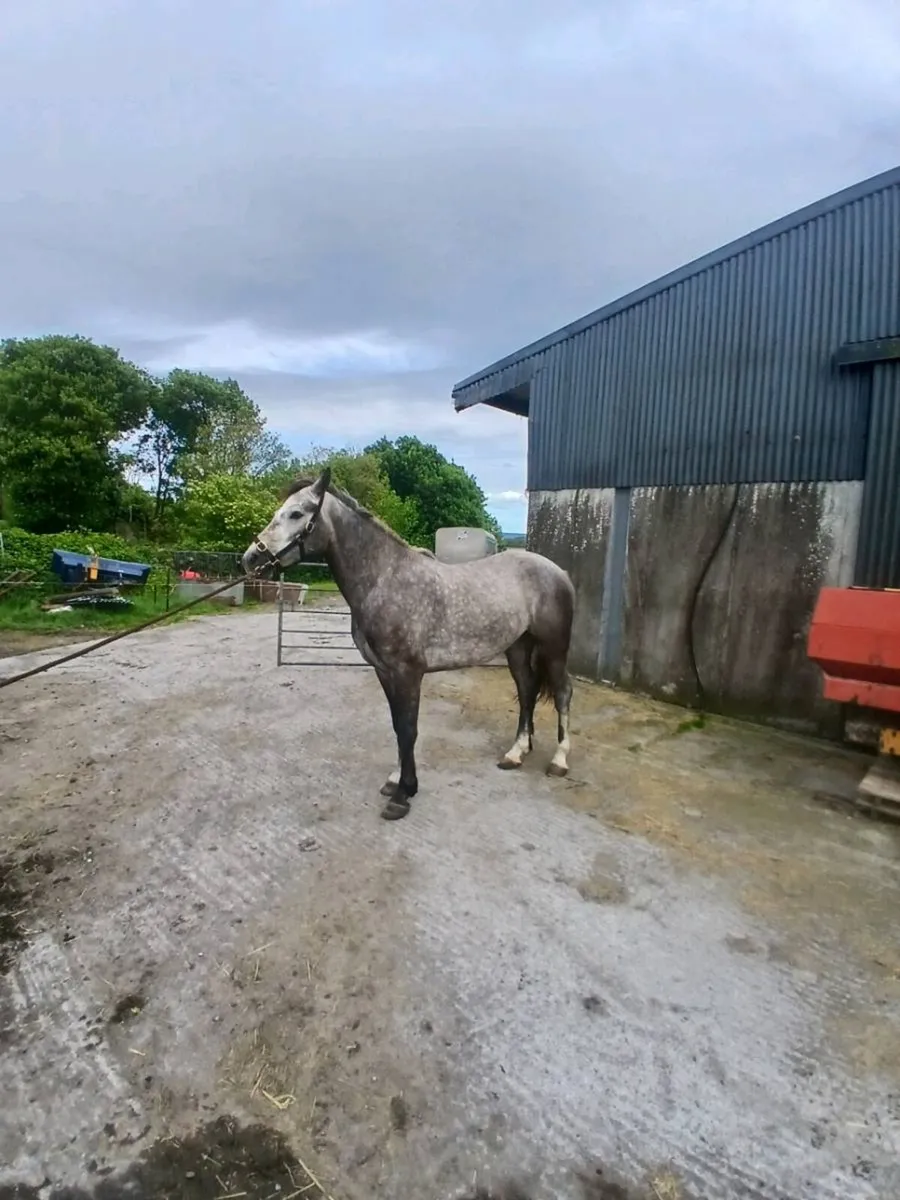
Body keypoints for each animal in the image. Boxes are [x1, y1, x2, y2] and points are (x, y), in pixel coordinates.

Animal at [243, 468, 575, 821]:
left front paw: (404, 793)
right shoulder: (384, 671)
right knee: (526, 690)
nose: (251, 559)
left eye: (296, 513)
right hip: (517, 647)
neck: (385, 580)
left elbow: (408, 729)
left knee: (563, 693)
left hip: (554, 649)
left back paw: (559, 760)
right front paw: (395, 779)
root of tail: (559, 571)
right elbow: (397, 725)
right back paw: (516, 753)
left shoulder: (408, 673)